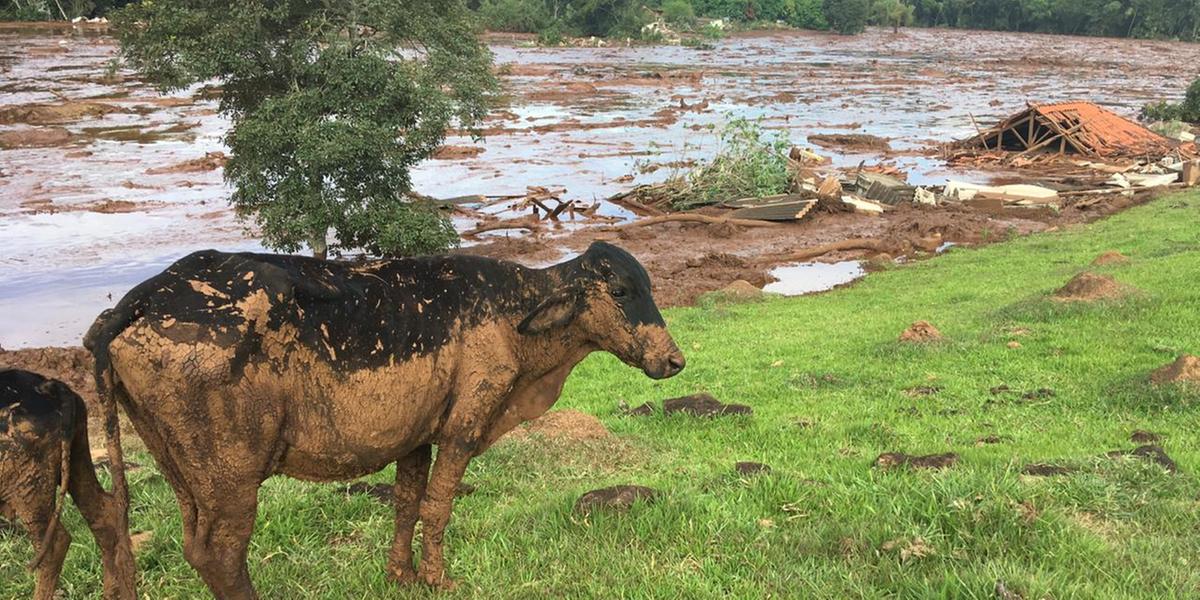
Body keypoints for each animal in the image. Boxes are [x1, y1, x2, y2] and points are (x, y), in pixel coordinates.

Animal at [84, 241, 686, 597]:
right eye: (620, 290)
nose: (674, 360)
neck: (513, 313)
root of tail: (141, 299)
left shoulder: (415, 438)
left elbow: (406, 505)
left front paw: (402, 575)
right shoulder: (464, 428)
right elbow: (438, 508)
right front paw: (439, 579)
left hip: (181, 468)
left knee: (195, 547)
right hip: (231, 478)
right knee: (223, 555)